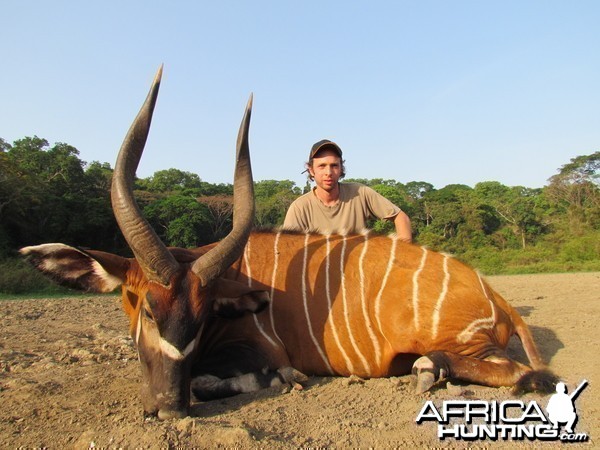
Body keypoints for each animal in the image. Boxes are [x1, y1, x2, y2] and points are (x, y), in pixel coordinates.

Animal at [19, 67, 556, 418]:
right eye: (147, 309)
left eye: (204, 315)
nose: (166, 409)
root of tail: (497, 296)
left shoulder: (257, 351)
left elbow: (223, 379)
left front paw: (285, 379)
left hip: (462, 343)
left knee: (521, 374)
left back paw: (431, 370)